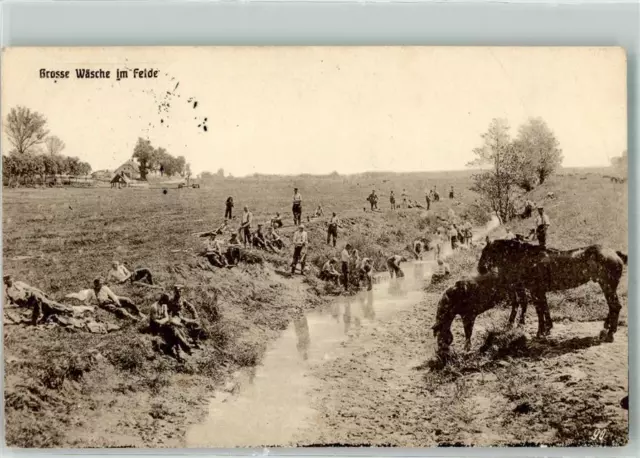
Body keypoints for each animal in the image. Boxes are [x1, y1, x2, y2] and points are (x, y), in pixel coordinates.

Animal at [478, 238, 628, 342]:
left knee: (615, 306)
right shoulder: (539, 291)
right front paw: (547, 329)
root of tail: (614, 253)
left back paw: (610, 334)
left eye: (485, 252)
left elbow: (539, 310)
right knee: (612, 307)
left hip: (607, 286)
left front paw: (540, 332)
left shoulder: (535, 291)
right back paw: (606, 328)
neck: (528, 258)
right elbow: (544, 309)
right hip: (606, 286)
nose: (480, 269)